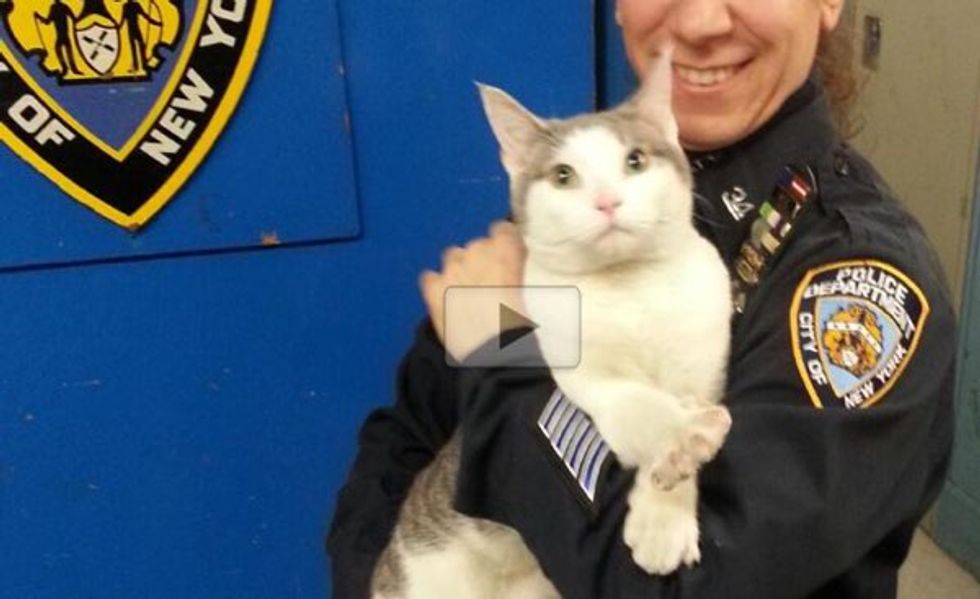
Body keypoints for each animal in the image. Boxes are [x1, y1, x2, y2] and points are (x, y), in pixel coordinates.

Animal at [372, 50, 732, 599]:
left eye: (635, 161)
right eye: (564, 176)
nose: (607, 201)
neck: (632, 287)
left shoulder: (703, 368)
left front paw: (663, 518)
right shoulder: (585, 377)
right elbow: (638, 406)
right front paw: (681, 432)